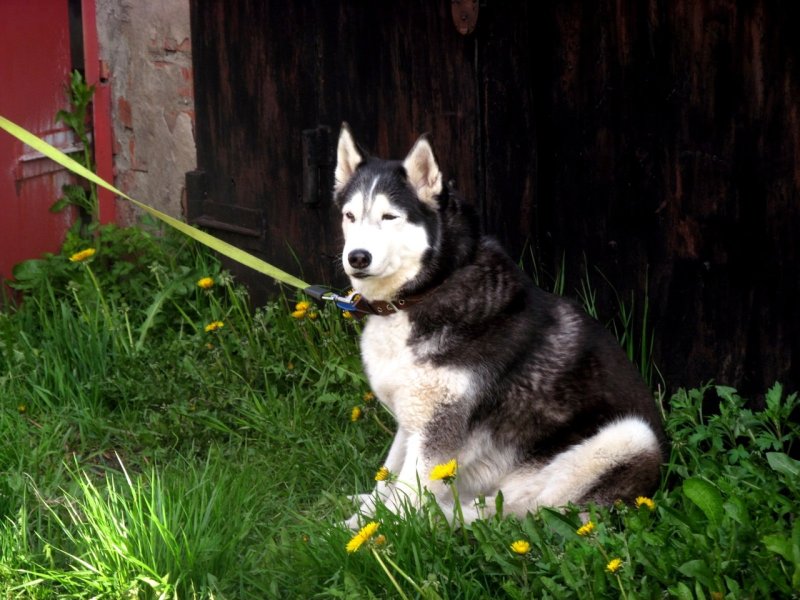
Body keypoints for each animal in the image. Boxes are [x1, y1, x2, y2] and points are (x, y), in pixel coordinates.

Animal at [334, 124, 664, 528]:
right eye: (350, 216)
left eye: (390, 217)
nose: (357, 257)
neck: (433, 287)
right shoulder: (413, 419)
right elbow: (389, 477)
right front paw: (368, 513)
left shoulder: (441, 427)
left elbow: (406, 494)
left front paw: (370, 530)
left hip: (627, 436)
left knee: (520, 511)